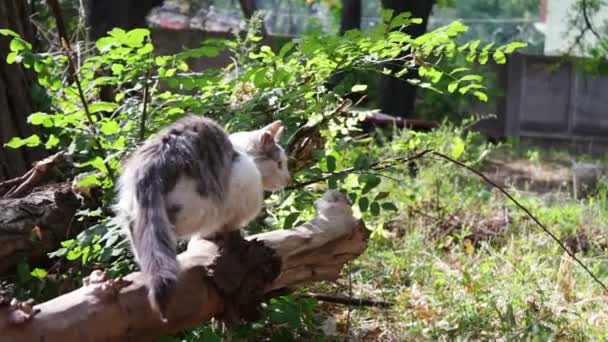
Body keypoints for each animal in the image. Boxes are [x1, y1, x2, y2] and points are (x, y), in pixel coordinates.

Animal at [116, 116, 292, 322]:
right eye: (280, 163)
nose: (288, 179)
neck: (240, 149)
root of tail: (155, 160)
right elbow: (228, 224)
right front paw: (225, 235)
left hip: (131, 208)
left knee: (140, 233)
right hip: (201, 205)